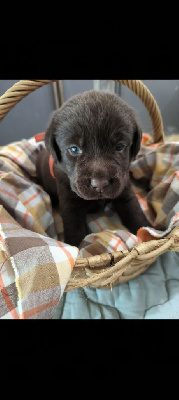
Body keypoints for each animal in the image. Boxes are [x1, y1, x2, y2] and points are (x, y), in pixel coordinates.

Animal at [35, 90, 150, 247]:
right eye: (74, 149)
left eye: (119, 146)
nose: (100, 183)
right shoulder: (70, 204)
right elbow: (74, 229)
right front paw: (76, 248)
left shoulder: (125, 191)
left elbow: (135, 213)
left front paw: (151, 232)